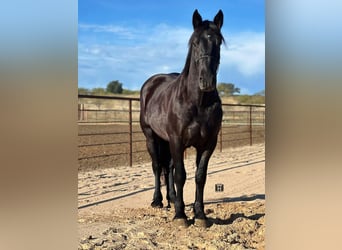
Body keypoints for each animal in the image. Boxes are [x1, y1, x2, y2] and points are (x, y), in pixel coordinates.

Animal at [140, 9, 224, 227]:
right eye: (195, 42)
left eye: (219, 42)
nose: (207, 81)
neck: (198, 103)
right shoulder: (177, 141)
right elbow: (181, 175)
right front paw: (180, 216)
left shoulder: (208, 144)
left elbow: (200, 176)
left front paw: (200, 214)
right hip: (151, 137)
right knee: (157, 167)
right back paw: (158, 201)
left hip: (166, 141)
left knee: (167, 168)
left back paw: (172, 198)